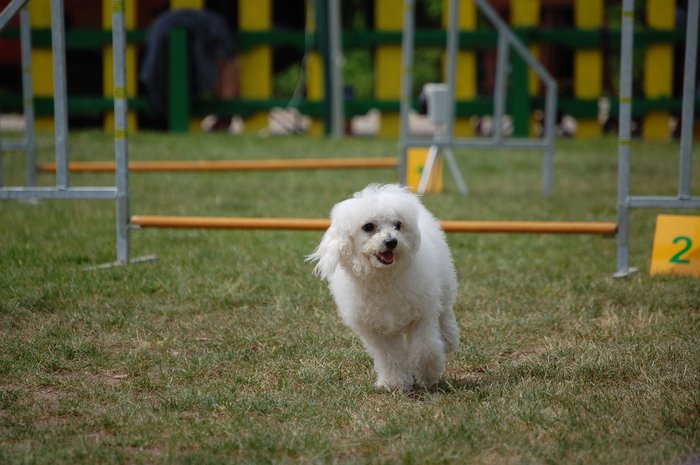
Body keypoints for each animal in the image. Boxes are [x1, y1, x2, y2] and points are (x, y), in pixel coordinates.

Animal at [308, 183, 460, 390]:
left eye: (398, 225)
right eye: (368, 227)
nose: (391, 242)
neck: (383, 277)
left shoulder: (421, 315)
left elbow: (424, 349)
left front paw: (426, 375)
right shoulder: (376, 330)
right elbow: (389, 357)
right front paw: (394, 383)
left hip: (444, 286)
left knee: (445, 314)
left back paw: (448, 340)